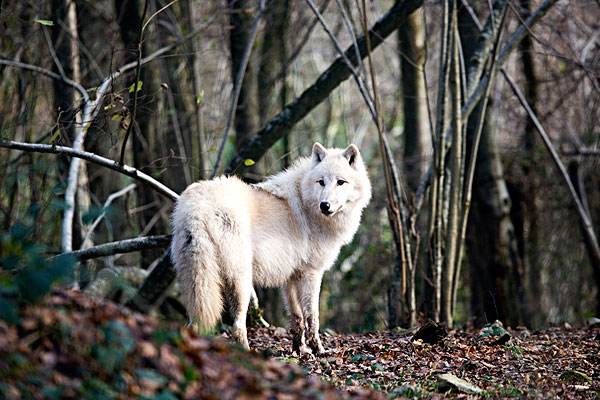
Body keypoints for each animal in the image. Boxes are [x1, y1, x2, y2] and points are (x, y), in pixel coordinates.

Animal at [171, 142, 370, 354]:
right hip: (241, 282)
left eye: (341, 182)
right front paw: (319, 350)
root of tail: (197, 208)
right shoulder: (312, 273)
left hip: (198, 282)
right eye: (321, 182)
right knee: (237, 325)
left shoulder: (291, 277)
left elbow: (297, 318)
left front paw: (299, 351)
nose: (325, 205)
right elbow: (312, 317)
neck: (307, 204)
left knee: (192, 324)